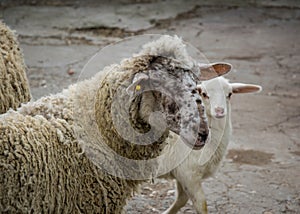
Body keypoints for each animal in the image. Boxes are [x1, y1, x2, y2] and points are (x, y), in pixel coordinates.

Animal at [158, 76, 262, 213]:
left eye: (230, 94)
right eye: (203, 94)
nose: (219, 111)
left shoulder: (182, 173)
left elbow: (182, 199)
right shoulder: (189, 174)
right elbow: (201, 205)